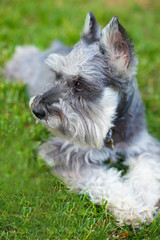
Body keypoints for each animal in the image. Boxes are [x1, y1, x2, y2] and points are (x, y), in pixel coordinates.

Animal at [5, 11, 160, 226]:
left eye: (79, 84)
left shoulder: (143, 144)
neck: (112, 126)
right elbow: (105, 181)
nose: (36, 110)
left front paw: (144, 197)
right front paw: (133, 208)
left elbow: (149, 171)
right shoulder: (67, 153)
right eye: (56, 76)